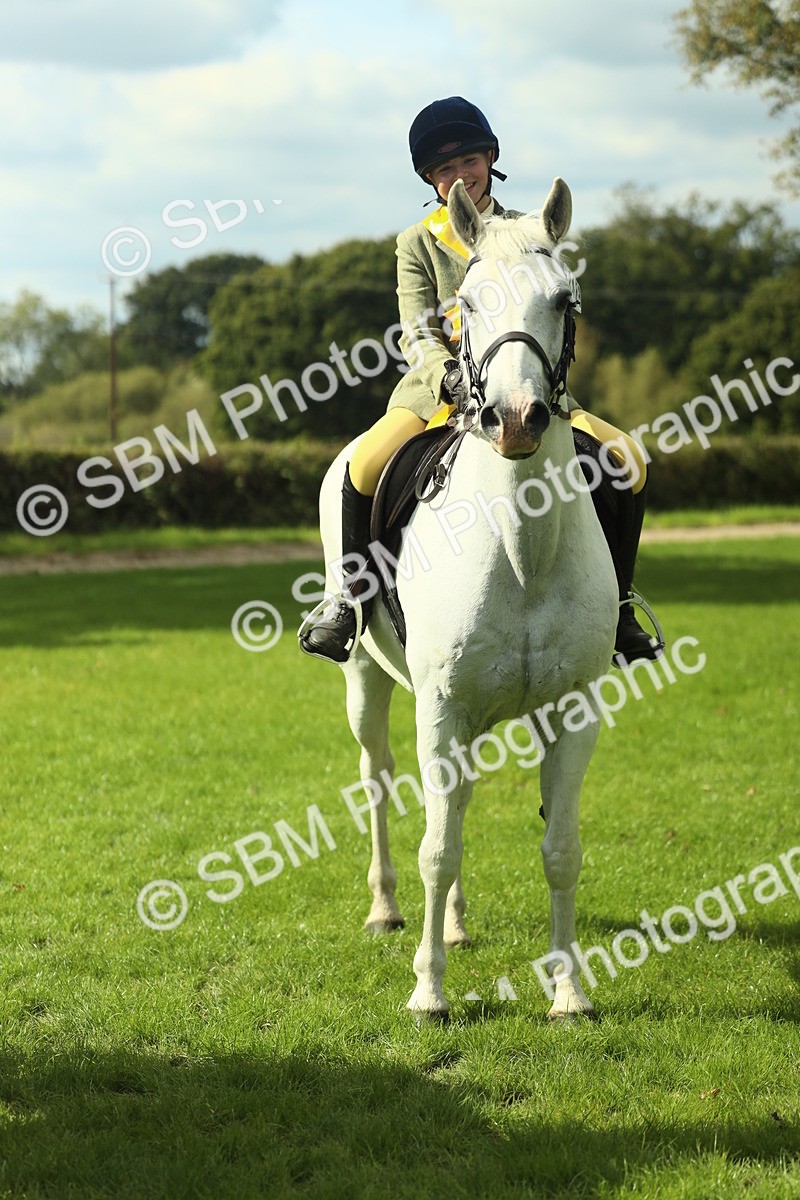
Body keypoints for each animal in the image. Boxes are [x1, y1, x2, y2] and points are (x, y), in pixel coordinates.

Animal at [309, 177, 618, 1020]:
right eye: (468, 304)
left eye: (565, 299)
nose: (514, 420)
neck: (520, 548)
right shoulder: (442, 705)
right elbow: (437, 847)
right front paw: (428, 993)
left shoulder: (574, 710)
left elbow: (562, 849)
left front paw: (569, 992)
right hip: (370, 683)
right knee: (380, 783)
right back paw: (387, 911)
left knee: (460, 798)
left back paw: (452, 925)